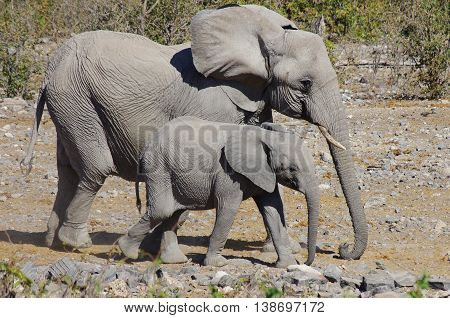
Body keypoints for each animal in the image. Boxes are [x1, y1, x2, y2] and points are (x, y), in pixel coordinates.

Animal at [118, 116, 320, 266]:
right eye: (292, 169)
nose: (305, 262)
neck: (265, 136)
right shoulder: (228, 172)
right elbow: (228, 208)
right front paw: (217, 264)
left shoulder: (266, 173)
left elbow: (273, 210)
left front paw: (287, 265)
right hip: (159, 168)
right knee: (163, 210)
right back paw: (126, 250)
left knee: (175, 213)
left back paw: (175, 261)